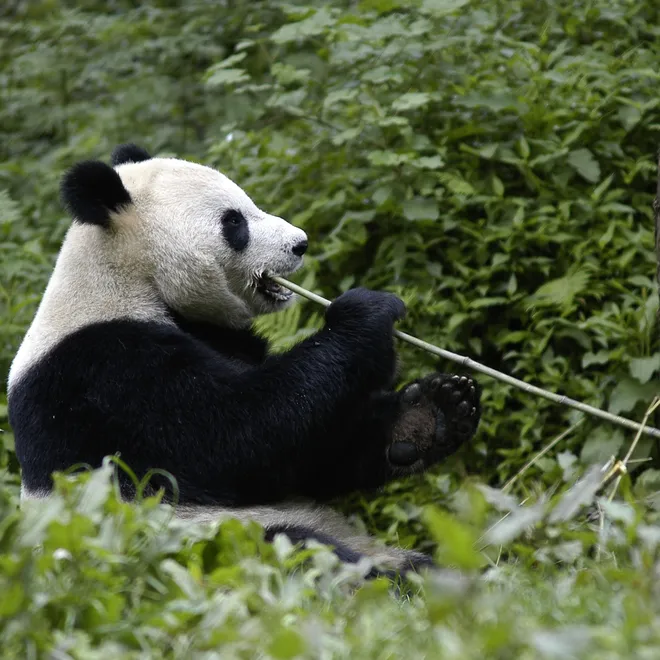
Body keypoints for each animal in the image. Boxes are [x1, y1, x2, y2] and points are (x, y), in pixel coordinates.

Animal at [7, 144, 481, 576]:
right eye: (233, 221)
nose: (300, 244)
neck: (129, 277)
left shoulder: (221, 336)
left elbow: (309, 455)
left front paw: (433, 412)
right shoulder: (103, 373)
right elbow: (234, 436)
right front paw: (366, 314)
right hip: (199, 543)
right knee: (298, 551)